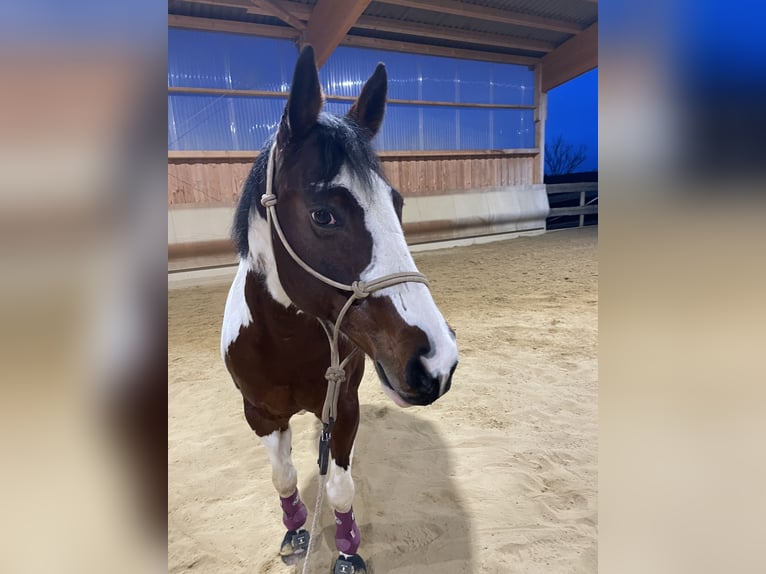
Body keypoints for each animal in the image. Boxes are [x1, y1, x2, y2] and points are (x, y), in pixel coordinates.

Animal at [220, 45, 458, 573]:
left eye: (397, 204)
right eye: (323, 214)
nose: (438, 361)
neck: (285, 343)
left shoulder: (344, 408)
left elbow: (340, 487)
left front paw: (348, 551)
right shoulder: (259, 414)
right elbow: (285, 478)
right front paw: (295, 531)